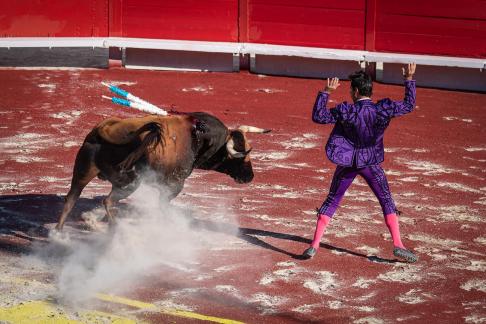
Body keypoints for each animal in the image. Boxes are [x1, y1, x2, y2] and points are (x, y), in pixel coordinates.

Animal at [56, 112, 274, 230]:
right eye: (244, 156)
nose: (250, 176)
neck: (198, 136)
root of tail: (106, 130)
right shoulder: (173, 186)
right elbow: (163, 206)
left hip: (84, 171)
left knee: (71, 198)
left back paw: (59, 232)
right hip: (131, 182)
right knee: (107, 201)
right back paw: (115, 228)